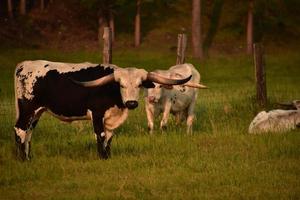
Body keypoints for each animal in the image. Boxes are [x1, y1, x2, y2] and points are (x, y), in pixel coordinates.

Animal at [14, 60, 191, 160]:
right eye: (121, 85)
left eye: (140, 85)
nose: (131, 103)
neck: (111, 91)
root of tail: (24, 64)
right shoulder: (97, 114)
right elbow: (101, 135)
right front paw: (102, 157)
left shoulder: (111, 118)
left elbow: (110, 136)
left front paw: (108, 156)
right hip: (27, 108)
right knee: (20, 130)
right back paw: (22, 159)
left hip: (37, 112)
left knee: (28, 133)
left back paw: (28, 157)